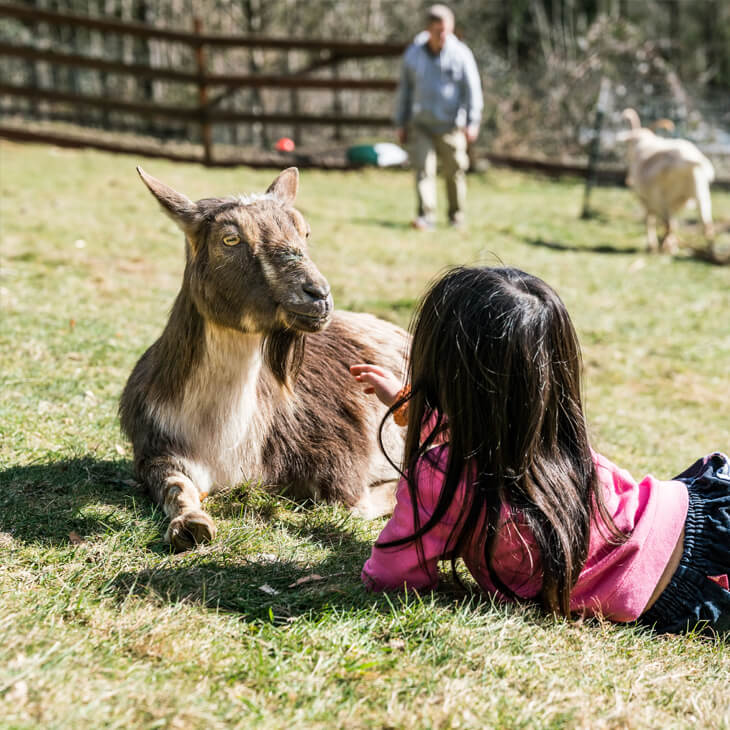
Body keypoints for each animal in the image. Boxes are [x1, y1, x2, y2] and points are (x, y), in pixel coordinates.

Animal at [120, 167, 409, 551]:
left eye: (305, 231)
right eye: (230, 239)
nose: (317, 295)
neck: (222, 443)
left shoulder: (341, 460)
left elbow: (350, 505)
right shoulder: (157, 449)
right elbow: (175, 487)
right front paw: (191, 524)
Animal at [619, 108, 715, 254]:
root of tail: (688, 160)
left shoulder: (645, 198)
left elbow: (649, 219)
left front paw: (652, 247)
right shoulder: (674, 203)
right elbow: (673, 222)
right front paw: (671, 245)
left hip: (662, 197)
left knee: (667, 223)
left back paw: (665, 248)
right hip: (700, 192)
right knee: (706, 225)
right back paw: (710, 252)